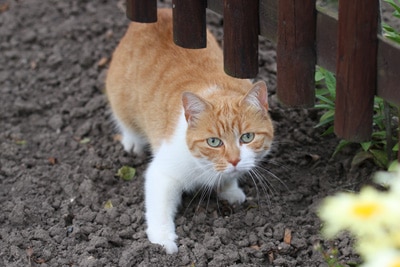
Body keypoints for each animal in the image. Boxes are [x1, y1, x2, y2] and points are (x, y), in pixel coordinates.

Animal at [105, 8, 276, 255]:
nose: (234, 160)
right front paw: (163, 241)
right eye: (214, 142)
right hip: (120, 97)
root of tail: (162, 11)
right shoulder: (161, 174)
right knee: (125, 121)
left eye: (247, 137)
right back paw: (133, 141)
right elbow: (159, 210)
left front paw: (230, 190)